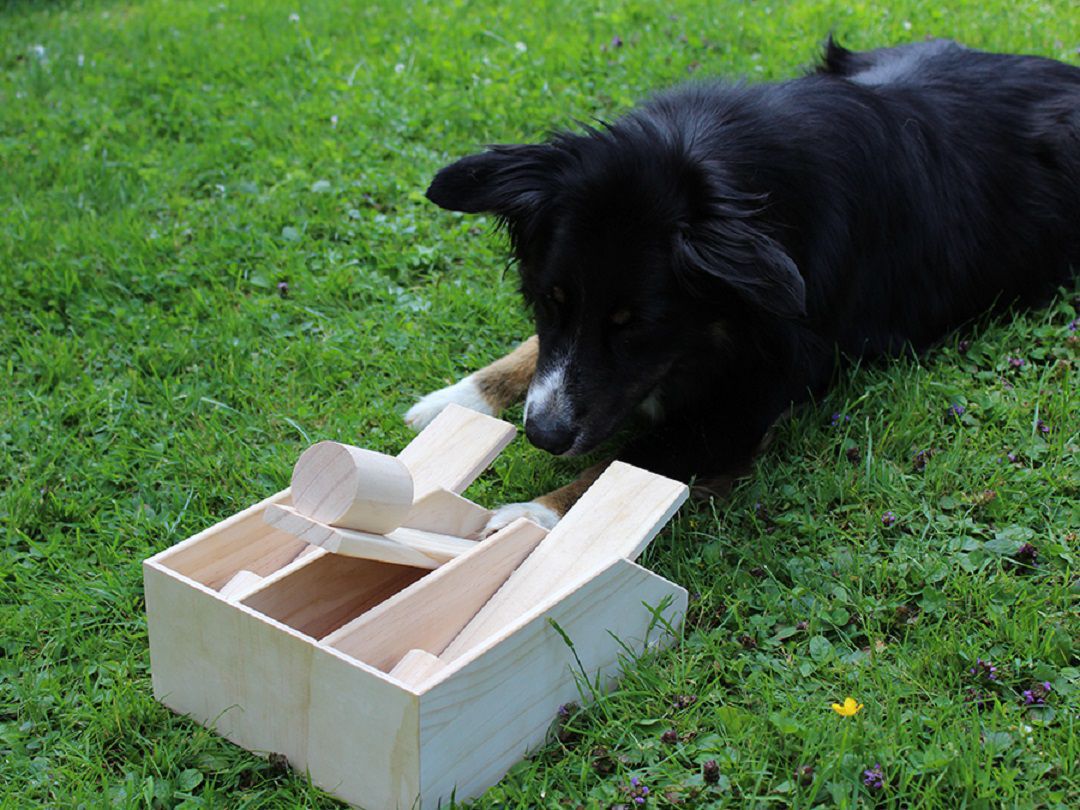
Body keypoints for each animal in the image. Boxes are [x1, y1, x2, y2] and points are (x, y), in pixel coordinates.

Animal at [406, 39, 1080, 533]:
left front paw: (532, 515)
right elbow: (533, 352)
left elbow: (629, 463)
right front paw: (460, 397)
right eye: (548, 300)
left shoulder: (751, 399)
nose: (543, 436)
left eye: (638, 326)